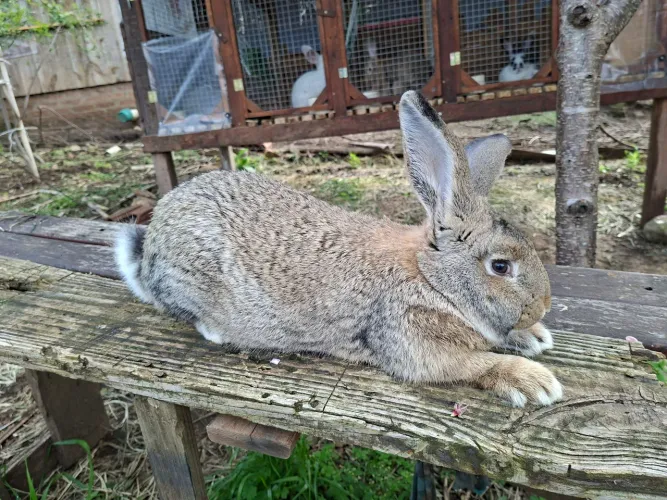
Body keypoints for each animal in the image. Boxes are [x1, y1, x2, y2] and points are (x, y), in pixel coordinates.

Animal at [115, 91, 562, 408]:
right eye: (500, 266)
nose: (543, 305)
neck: (431, 276)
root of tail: (149, 248)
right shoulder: (409, 340)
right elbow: (474, 363)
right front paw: (536, 382)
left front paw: (534, 337)